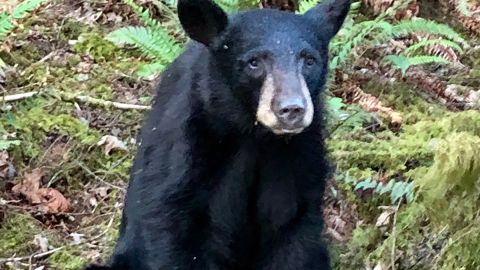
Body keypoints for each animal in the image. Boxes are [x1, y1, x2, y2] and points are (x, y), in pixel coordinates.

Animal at [86, 0, 348, 268]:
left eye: (309, 60)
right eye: (254, 62)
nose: (292, 109)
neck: (253, 134)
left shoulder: (300, 155)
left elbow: (292, 226)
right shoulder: (187, 147)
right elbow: (169, 226)